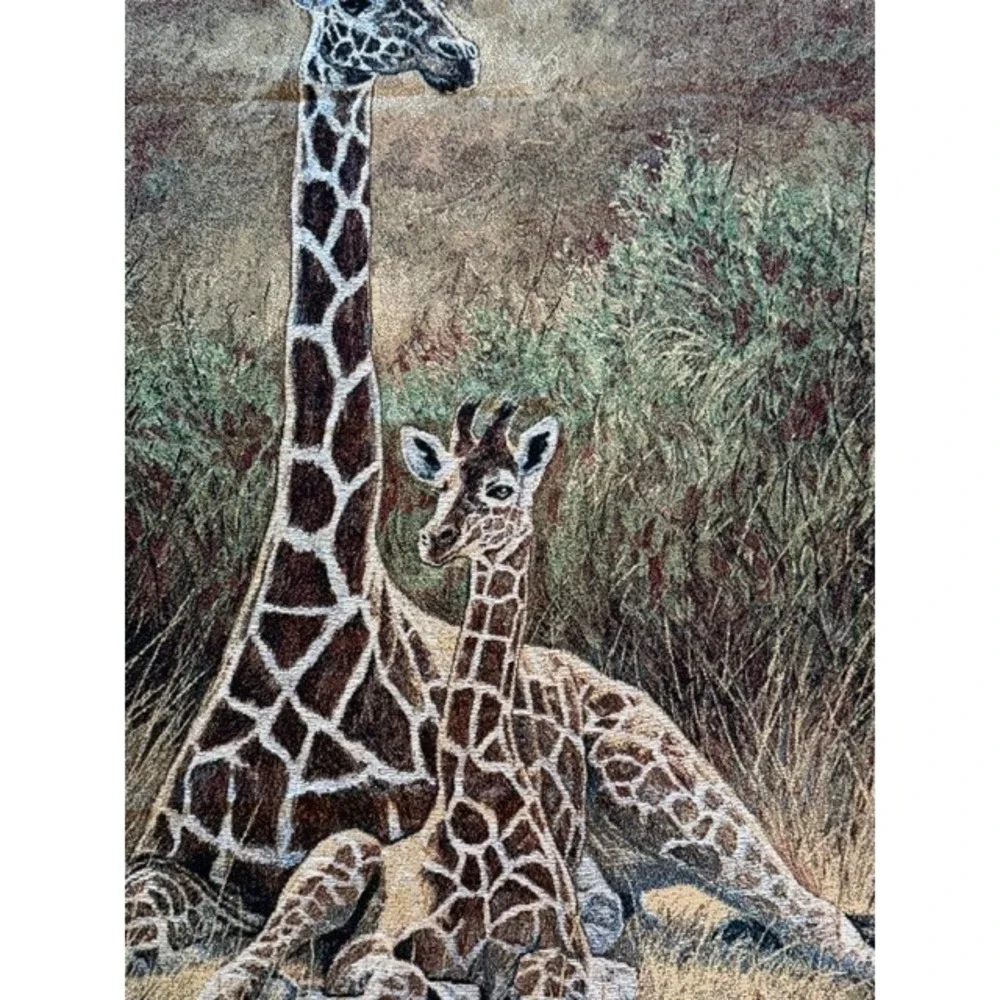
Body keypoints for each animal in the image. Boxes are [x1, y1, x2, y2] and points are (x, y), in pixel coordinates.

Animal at [127, 0, 874, 991]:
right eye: (356, 8)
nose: (461, 52)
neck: (308, 604)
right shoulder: (174, 859)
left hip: (682, 800)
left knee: (826, 927)